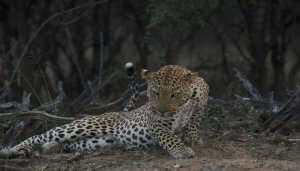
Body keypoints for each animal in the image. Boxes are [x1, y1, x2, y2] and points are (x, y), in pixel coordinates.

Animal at [0, 62, 209, 159]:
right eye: (155, 93)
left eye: (174, 94)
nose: (162, 111)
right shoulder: (156, 123)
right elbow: (169, 136)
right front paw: (182, 150)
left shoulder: (202, 97)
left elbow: (196, 118)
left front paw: (191, 137)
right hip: (82, 126)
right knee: (38, 136)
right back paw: (12, 150)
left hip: (91, 142)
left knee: (55, 144)